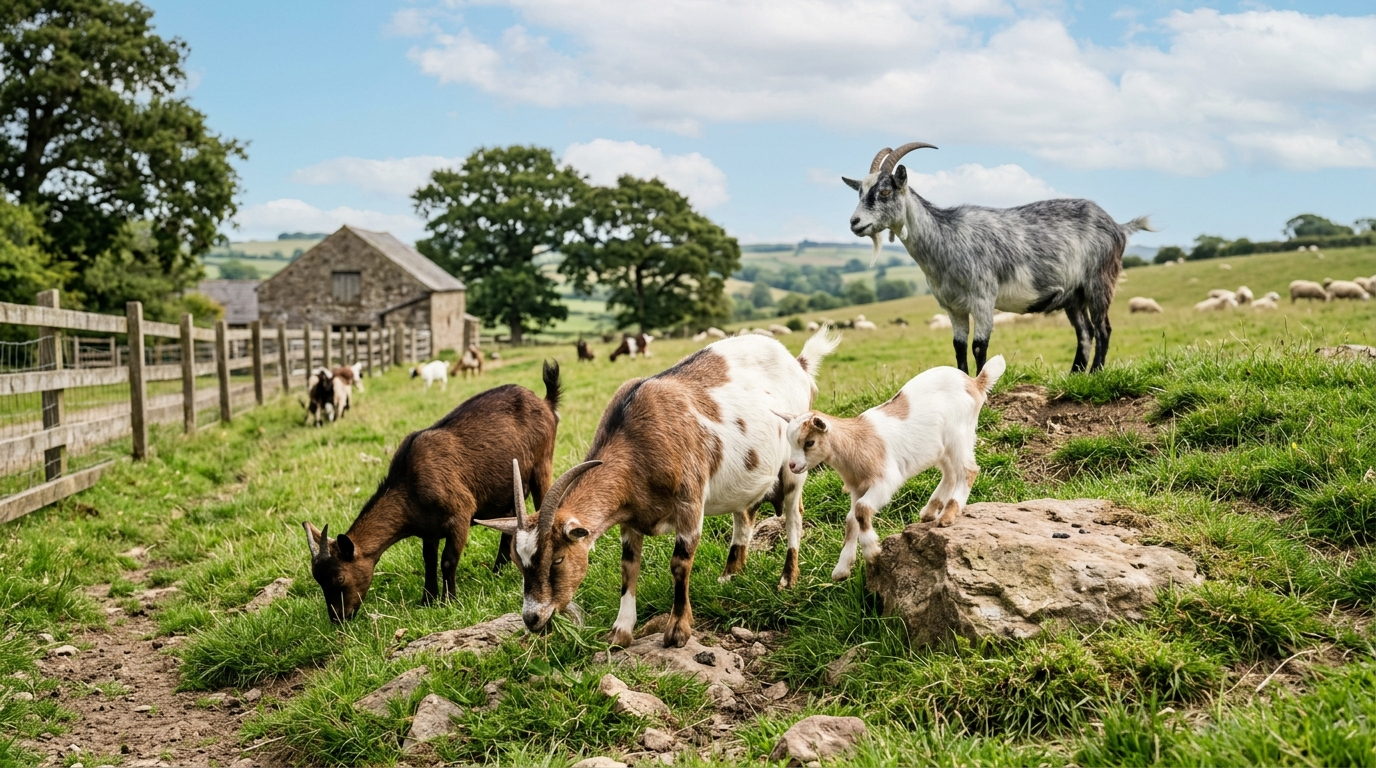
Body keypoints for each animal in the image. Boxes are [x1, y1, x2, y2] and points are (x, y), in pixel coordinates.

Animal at [302, 362, 562, 622]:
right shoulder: (428, 529)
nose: (338, 617)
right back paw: (498, 569)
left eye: (339, 577)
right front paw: (427, 599)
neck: (409, 485)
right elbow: (428, 560)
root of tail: (545, 402)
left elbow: (448, 560)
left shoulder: (460, 514)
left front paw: (450, 600)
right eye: (319, 579)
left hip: (543, 464)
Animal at [475, 327, 841, 648]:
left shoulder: (690, 503)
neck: (635, 440)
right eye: (518, 562)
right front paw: (620, 633)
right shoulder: (629, 516)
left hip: (794, 465)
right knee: (744, 515)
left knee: (794, 515)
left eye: (558, 560)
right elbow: (628, 567)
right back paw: (730, 575)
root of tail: (798, 363)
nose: (533, 619)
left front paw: (677, 631)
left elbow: (680, 564)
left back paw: (787, 579)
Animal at [777, 355, 1005, 580]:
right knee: (950, 473)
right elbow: (851, 519)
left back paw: (947, 515)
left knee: (968, 470)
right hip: (942, 448)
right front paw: (842, 569)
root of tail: (974, 382)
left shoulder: (885, 480)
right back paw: (930, 511)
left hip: (959, 434)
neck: (855, 442)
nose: (793, 466)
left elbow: (862, 510)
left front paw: (872, 552)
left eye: (809, 443)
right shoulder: (857, 487)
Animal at [844, 143, 1152, 374]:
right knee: (1085, 332)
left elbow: (979, 345)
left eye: (885, 191)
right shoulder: (953, 307)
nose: (854, 222)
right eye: (859, 192)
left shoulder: (983, 298)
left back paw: (1096, 373)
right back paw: (1075, 375)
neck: (946, 238)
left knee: (1102, 329)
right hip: (1074, 296)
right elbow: (958, 347)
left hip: (1100, 281)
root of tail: (1118, 227)